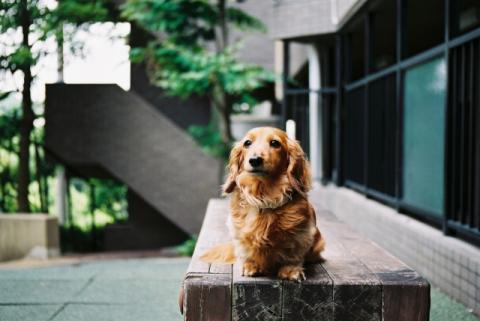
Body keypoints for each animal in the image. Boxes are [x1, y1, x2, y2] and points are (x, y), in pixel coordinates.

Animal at [201, 126, 324, 278]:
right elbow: (246, 251)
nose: (255, 160)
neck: (264, 197)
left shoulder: (301, 234)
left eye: (275, 143)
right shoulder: (239, 233)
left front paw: (291, 269)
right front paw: (250, 265)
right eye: (247, 143)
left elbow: (293, 254)